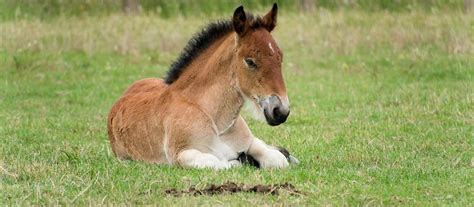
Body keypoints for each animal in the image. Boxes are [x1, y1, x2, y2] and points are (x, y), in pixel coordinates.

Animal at [109, 4, 294, 169]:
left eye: (280, 57)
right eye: (250, 61)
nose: (280, 111)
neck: (217, 121)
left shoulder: (251, 142)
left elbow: (277, 160)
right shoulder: (182, 155)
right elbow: (225, 163)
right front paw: (244, 160)